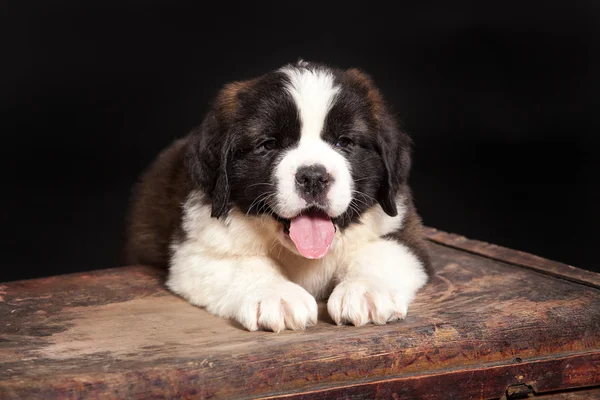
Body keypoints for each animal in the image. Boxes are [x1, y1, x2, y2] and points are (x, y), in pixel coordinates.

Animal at [124, 60, 428, 332]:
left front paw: (365, 290)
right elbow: (244, 264)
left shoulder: (403, 229)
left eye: (344, 142)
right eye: (269, 144)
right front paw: (275, 295)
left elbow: (379, 252)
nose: (313, 177)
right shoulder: (195, 251)